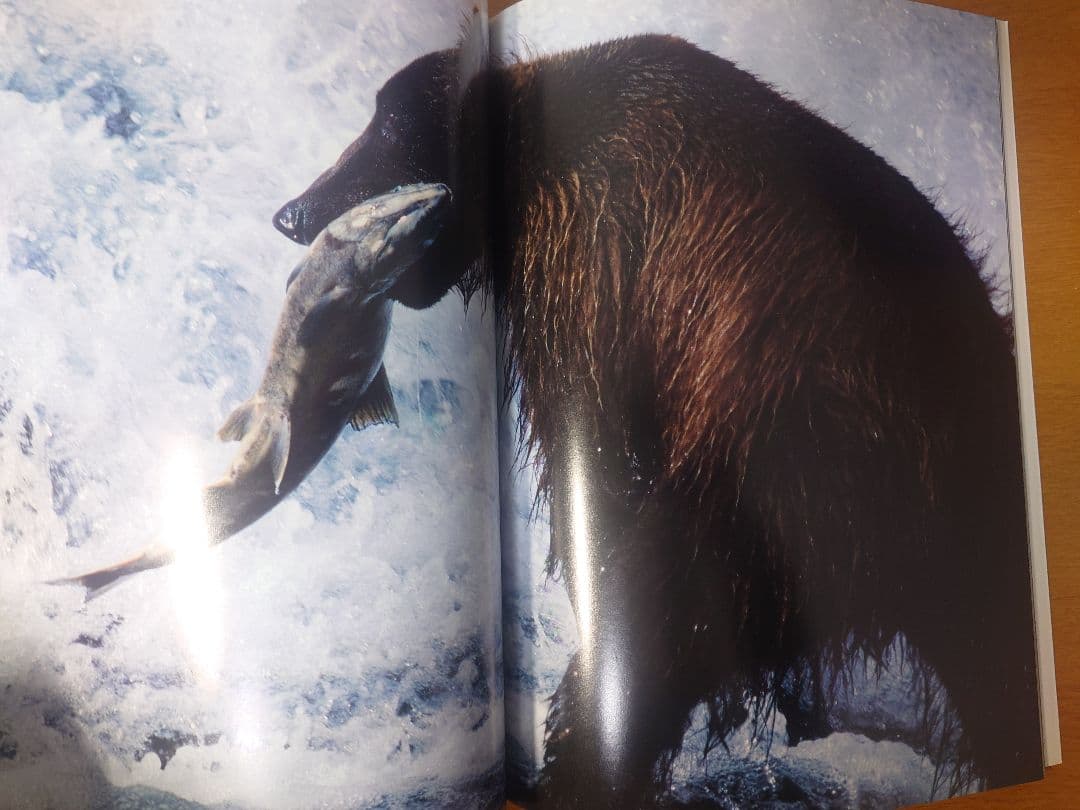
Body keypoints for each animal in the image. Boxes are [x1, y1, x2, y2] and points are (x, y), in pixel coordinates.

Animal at [272, 35, 1044, 807]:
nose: (293, 211)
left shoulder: (592, 260)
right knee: (995, 667)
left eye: (385, 132)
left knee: (664, 617)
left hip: (787, 462)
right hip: (957, 509)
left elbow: (600, 465)